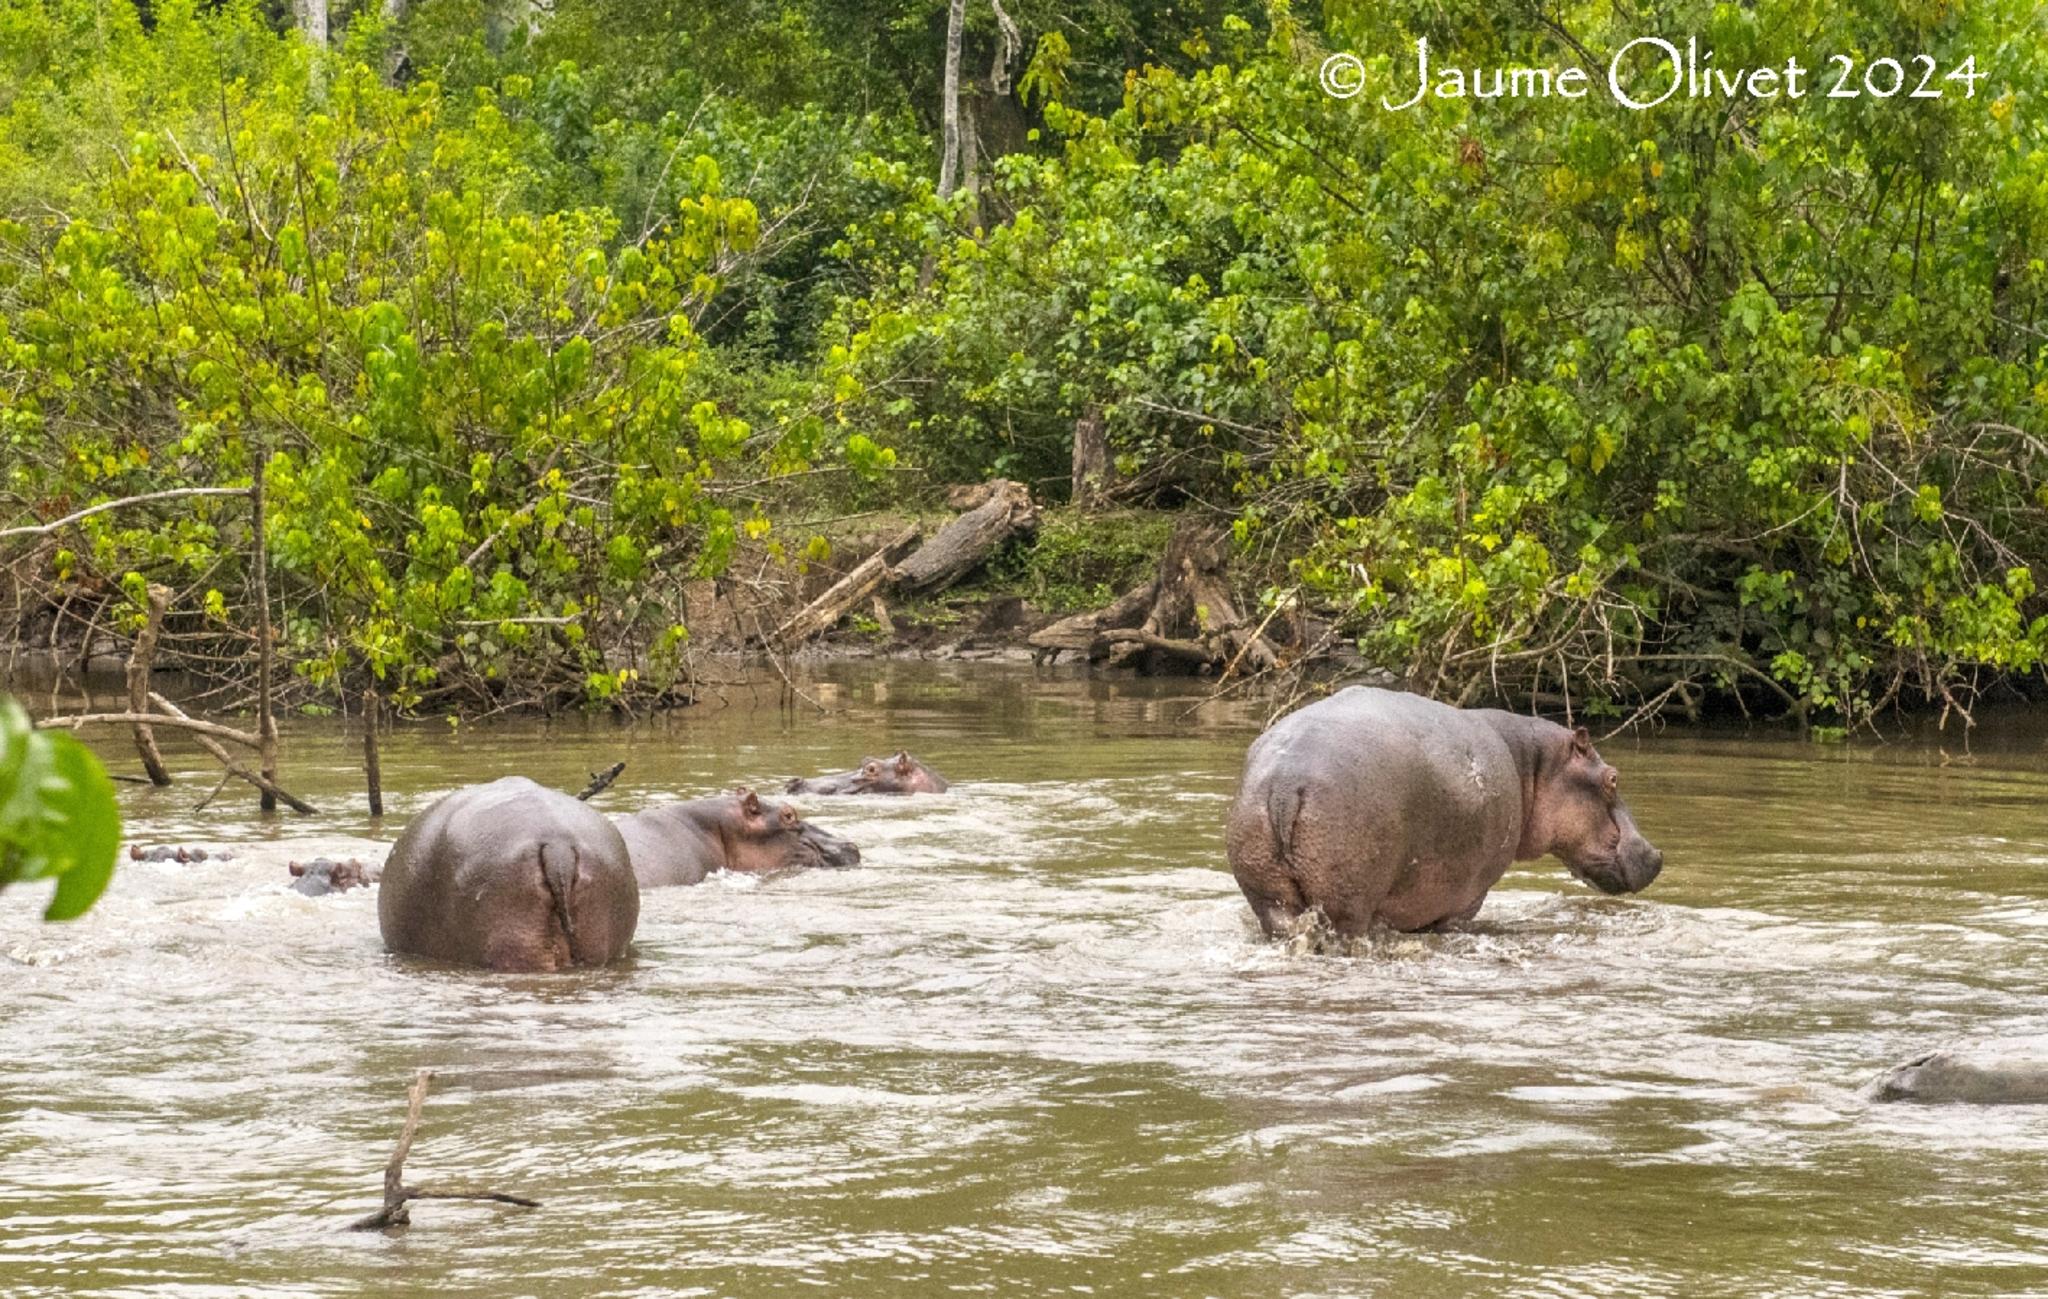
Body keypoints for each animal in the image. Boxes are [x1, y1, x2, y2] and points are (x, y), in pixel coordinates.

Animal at [1220, 684, 1654, 934]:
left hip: (1268, 893)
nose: (1656, 854)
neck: (1531, 764)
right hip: (1346, 901)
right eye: (1613, 778)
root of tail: (1284, 784)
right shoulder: (1467, 899)